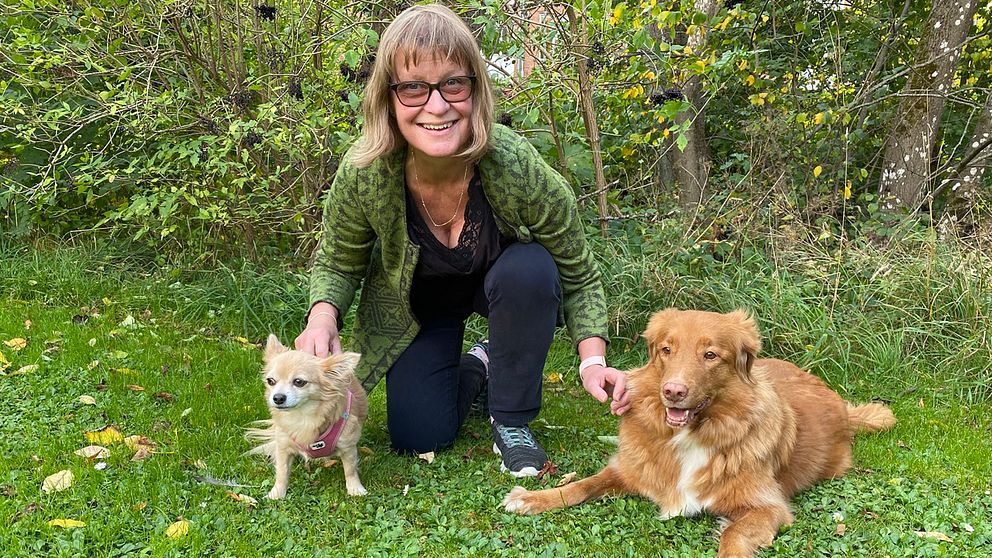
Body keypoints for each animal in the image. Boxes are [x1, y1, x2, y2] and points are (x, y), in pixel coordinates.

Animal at [246, 334, 370, 500]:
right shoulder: (283, 447)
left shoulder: (348, 447)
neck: (302, 417)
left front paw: (355, 489)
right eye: (270, 381)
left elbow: (350, 469)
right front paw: (277, 493)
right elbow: (282, 472)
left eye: (299, 382)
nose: (277, 397)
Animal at [500, 310, 896, 558]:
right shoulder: (629, 470)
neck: (690, 435)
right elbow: (580, 485)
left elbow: (734, 535)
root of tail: (841, 405)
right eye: (666, 349)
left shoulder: (769, 506)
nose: (673, 391)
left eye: (710, 355)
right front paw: (533, 498)